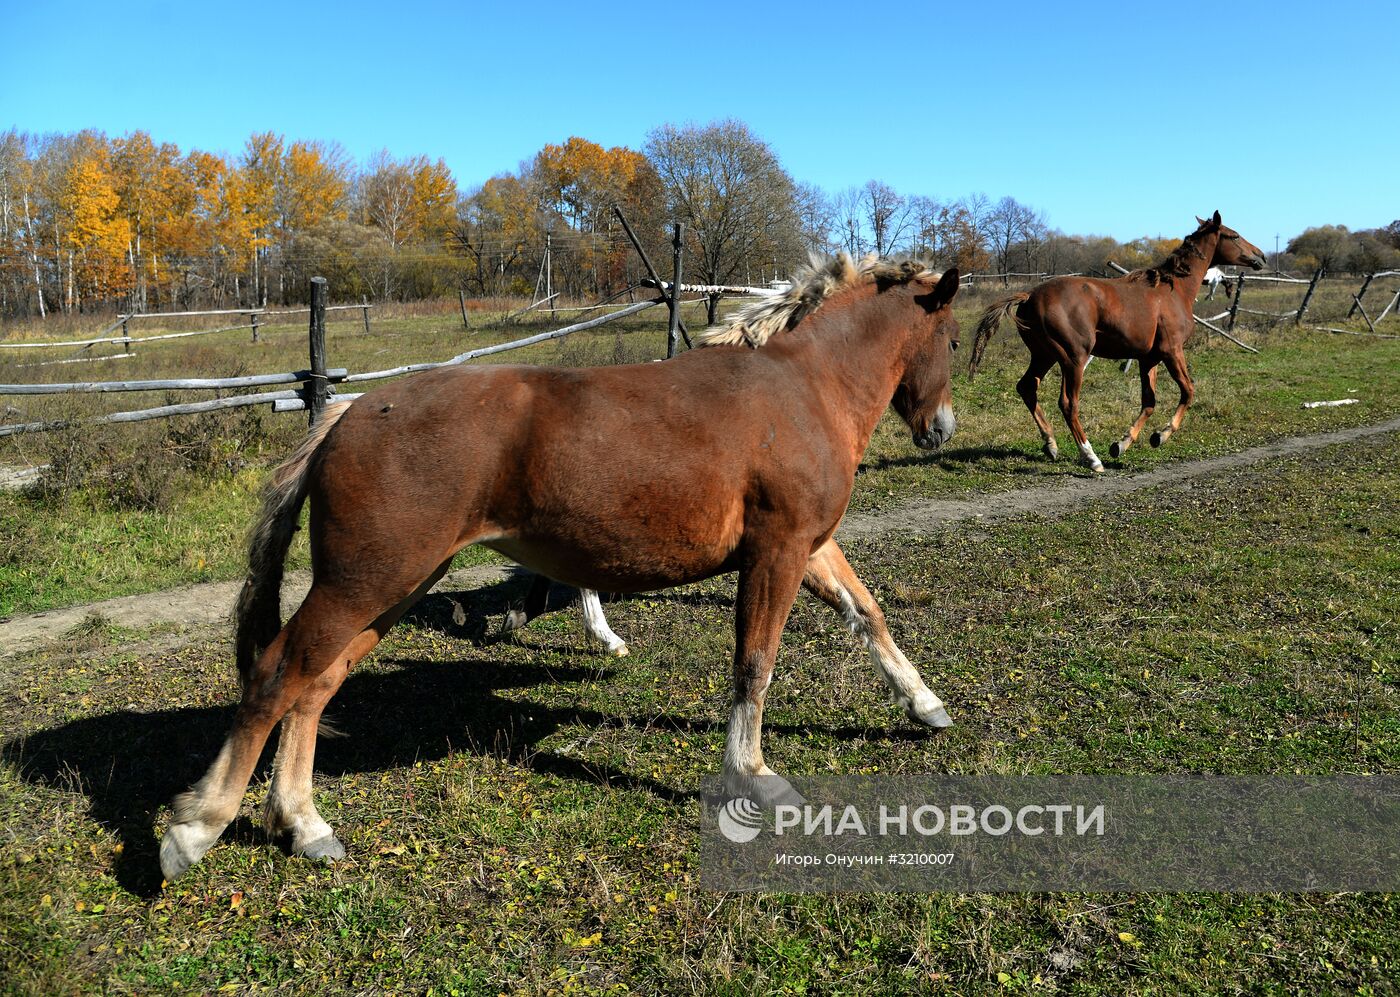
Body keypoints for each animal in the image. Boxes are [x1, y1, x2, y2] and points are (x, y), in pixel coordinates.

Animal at [156, 253, 963, 873]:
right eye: (952, 341)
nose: (941, 429)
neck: (802, 390)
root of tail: (346, 415)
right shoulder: (778, 551)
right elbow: (754, 664)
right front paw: (753, 776)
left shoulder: (811, 545)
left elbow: (868, 613)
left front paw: (926, 707)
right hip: (366, 581)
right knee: (276, 676)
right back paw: (194, 829)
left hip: (392, 586)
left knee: (315, 685)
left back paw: (303, 824)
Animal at [968, 212, 1265, 470]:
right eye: (1234, 235)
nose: (1260, 256)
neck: (1173, 291)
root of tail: (1029, 297)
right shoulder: (1172, 351)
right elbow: (1188, 391)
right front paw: (1160, 436)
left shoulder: (1149, 358)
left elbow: (1149, 402)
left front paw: (1122, 444)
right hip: (1072, 358)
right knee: (1068, 403)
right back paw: (1091, 458)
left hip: (1044, 355)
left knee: (1027, 387)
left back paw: (1051, 445)